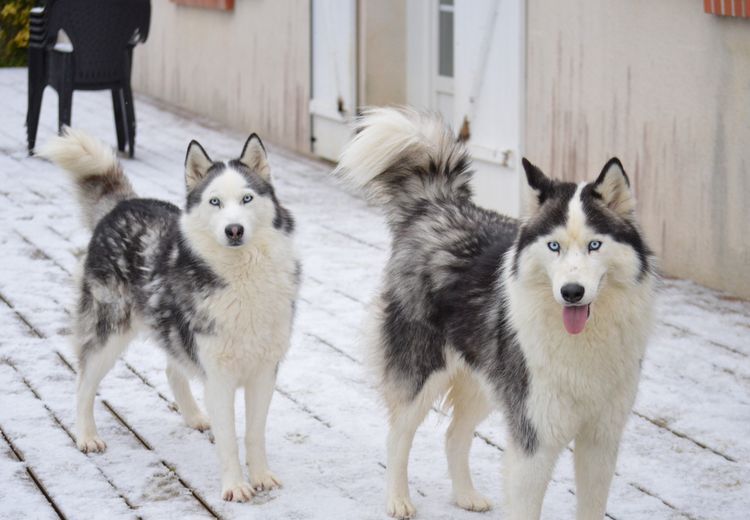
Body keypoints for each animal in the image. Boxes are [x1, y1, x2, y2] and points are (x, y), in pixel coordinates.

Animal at [41, 128, 300, 502]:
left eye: (247, 199)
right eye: (214, 202)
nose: (234, 230)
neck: (241, 278)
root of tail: (123, 205)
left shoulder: (264, 372)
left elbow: (253, 434)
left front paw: (261, 476)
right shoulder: (219, 377)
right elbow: (228, 441)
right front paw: (235, 486)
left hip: (174, 329)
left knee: (171, 368)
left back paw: (194, 415)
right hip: (109, 333)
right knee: (83, 382)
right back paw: (86, 435)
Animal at [336, 107, 656, 516]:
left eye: (594, 245)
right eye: (553, 246)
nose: (571, 293)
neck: (583, 342)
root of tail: (440, 204)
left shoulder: (601, 439)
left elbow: (592, 508)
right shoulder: (533, 439)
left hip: (484, 379)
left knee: (454, 435)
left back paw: (466, 495)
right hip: (424, 372)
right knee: (398, 435)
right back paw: (398, 499)